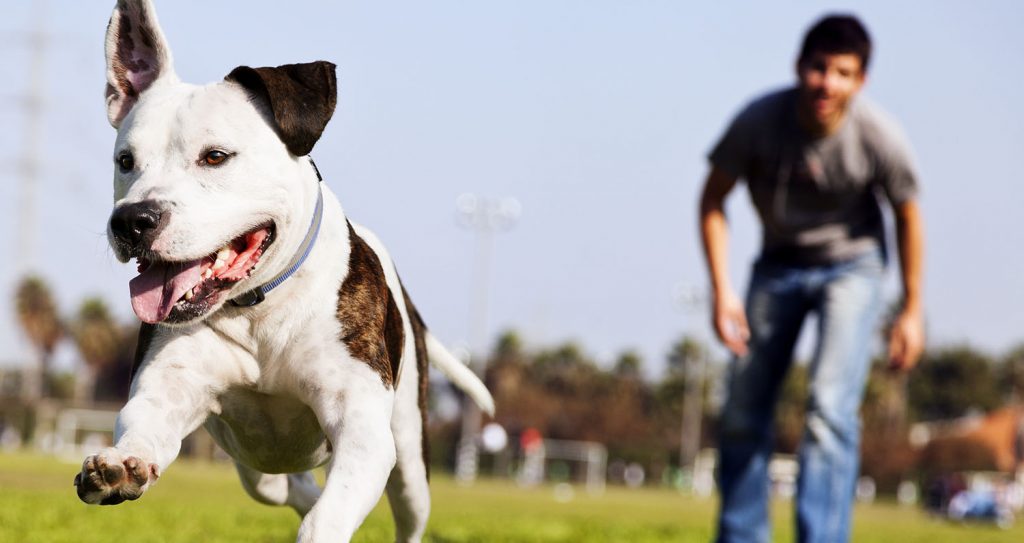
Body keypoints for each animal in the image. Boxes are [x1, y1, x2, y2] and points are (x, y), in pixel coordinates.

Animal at [71, 2, 491, 536]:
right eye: (125, 161)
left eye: (215, 156)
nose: (132, 220)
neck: (259, 307)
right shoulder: (166, 388)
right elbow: (145, 424)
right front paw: (119, 468)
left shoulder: (361, 429)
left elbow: (327, 517)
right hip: (257, 467)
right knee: (289, 488)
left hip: (411, 463)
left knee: (406, 511)